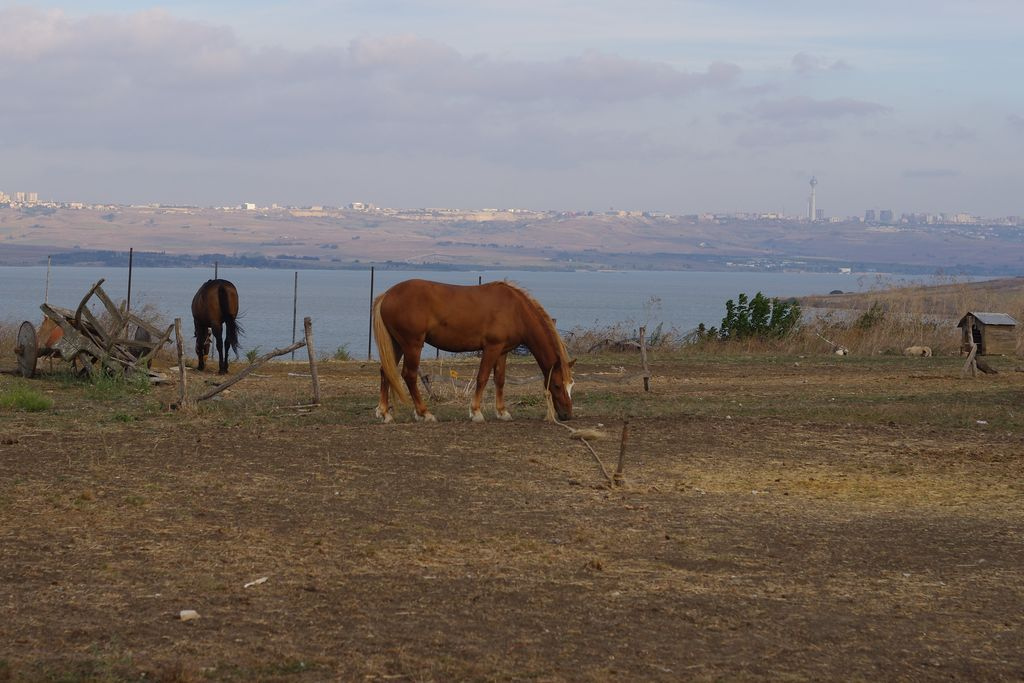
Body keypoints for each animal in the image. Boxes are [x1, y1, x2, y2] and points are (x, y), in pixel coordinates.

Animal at [372, 278, 577, 421]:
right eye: (557, 385)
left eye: (570, 386)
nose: (567, 414)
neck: (515, 310)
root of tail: (387, 295)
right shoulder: (492, 348)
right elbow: (483, 378)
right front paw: (476, 412)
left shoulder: (502, 351)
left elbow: (500, 380)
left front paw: (502, 412)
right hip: (412, 345)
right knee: (409, 375)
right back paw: (424, 413)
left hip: (397, 344)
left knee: (385, 372)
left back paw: (384, 413)